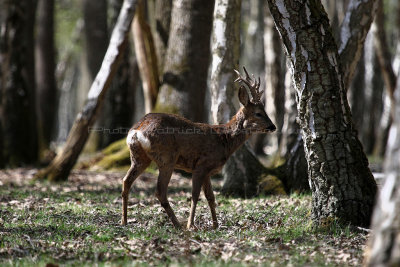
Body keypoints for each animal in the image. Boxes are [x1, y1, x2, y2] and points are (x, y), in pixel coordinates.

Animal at [122, 67, 276, 230]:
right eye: (258, 113)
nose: (273, 126)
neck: (224, 140)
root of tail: (137, 130)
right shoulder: (201, 165)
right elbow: (195, 195)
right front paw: (191, 225)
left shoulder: (208, 171)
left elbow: (210, 196)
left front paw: (215, 225)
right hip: (166, 158)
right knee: (160, 192)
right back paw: (178, 224)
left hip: (139, 157)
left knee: (126, 181)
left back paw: (124, 221)